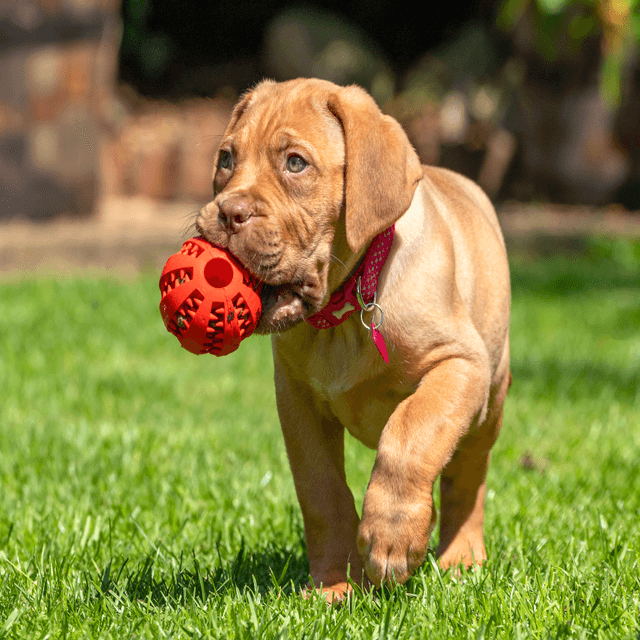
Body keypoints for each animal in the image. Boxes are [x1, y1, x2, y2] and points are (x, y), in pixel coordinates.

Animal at [195, 77, 510, 604]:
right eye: (225, 160)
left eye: (295, 163)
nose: (227, 214)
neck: (343, 311)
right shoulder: (297, 401)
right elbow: (321, 492)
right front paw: (334, 583)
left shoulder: (460, 364)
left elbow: (411, 431)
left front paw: (391, 537)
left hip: (491, 397)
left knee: (468, 477)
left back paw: (461, 559)